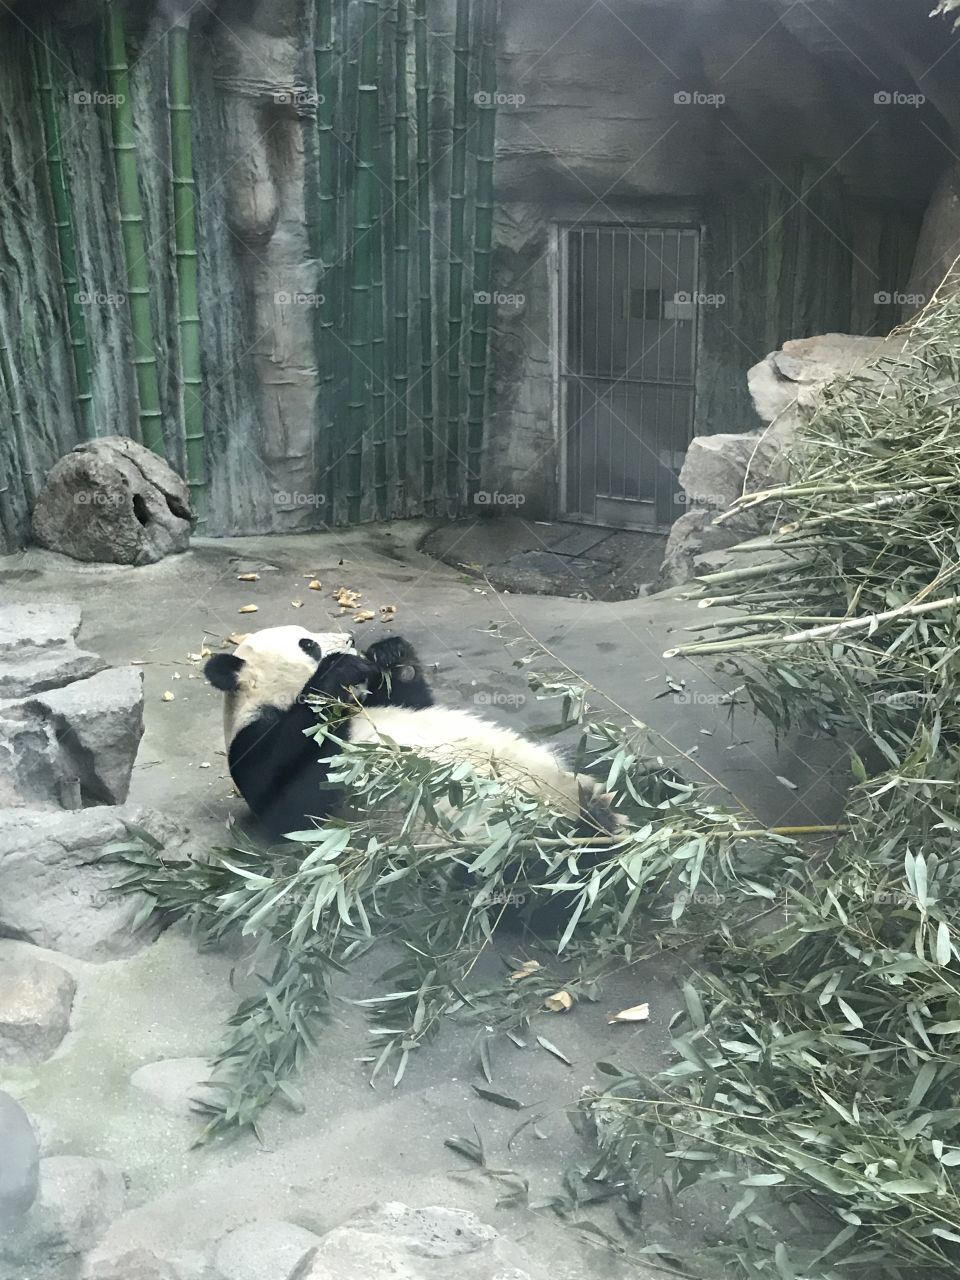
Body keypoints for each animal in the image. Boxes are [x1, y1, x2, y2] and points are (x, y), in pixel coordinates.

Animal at [203, 625, 620, 841]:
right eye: (308, 643)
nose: (351, 637)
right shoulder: (252, 737)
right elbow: (290, 799)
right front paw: (337, 672)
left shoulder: (390, 702)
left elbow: (414, 699)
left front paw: (389, 653)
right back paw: (592, 832)